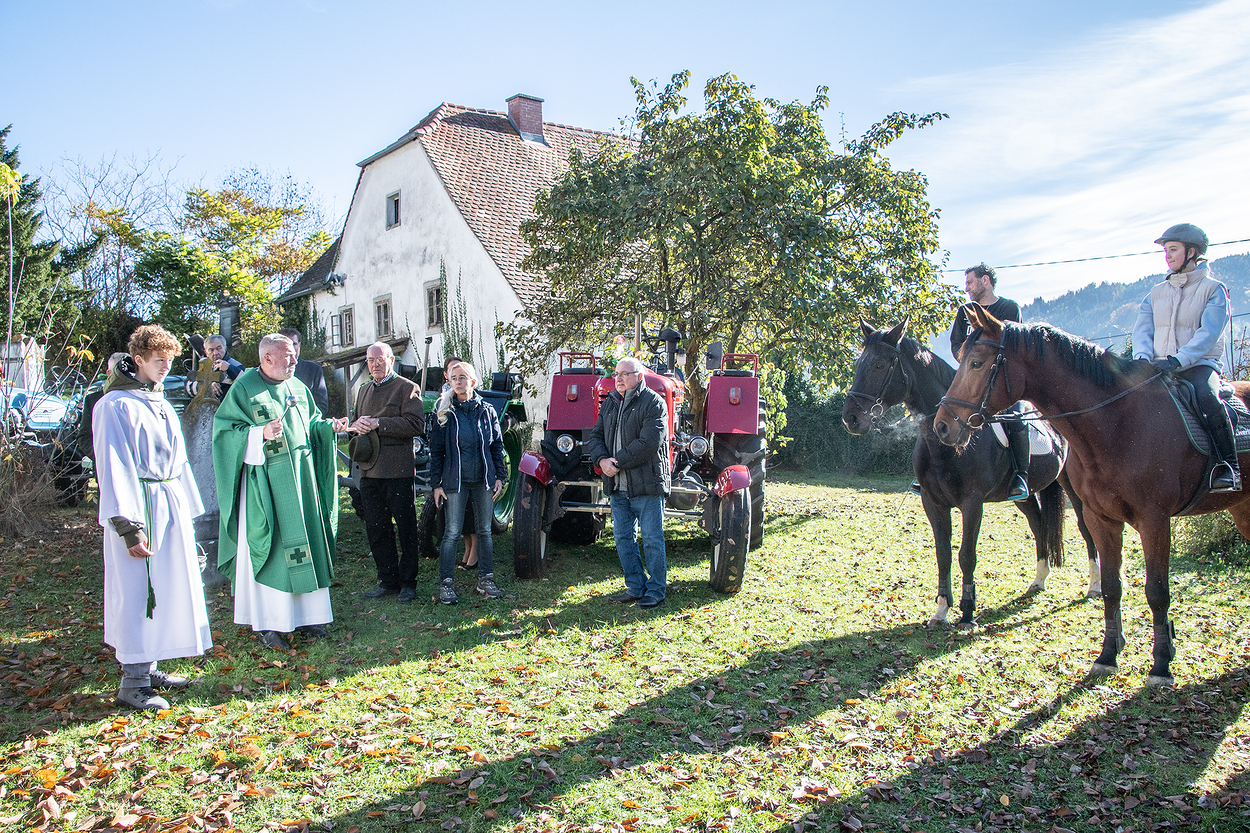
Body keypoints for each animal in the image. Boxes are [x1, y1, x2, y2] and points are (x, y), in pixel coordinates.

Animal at [843, 320, 1101, 628]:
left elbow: (966, 555)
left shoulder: (972, 503)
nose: (850, 418)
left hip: (1074, 488)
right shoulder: (933, 502)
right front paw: (942, 609)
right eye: (858, 364)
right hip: (1023, 496)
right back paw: (1039, 580)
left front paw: (967, 611)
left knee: (1086, 528)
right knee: (1038, 524)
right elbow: (943, 554)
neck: (942, 445)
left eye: (880, 365)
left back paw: (1095, 585)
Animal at [933, 304, 1250, 687]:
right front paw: (1108, 656)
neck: (1118, 424)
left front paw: (1161, 665)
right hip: (1243, 508)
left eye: (977, 363)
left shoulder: (1155, 521)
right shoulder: (1103, 518)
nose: (942, 426)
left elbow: (1157, 592)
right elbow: (1113, 587)